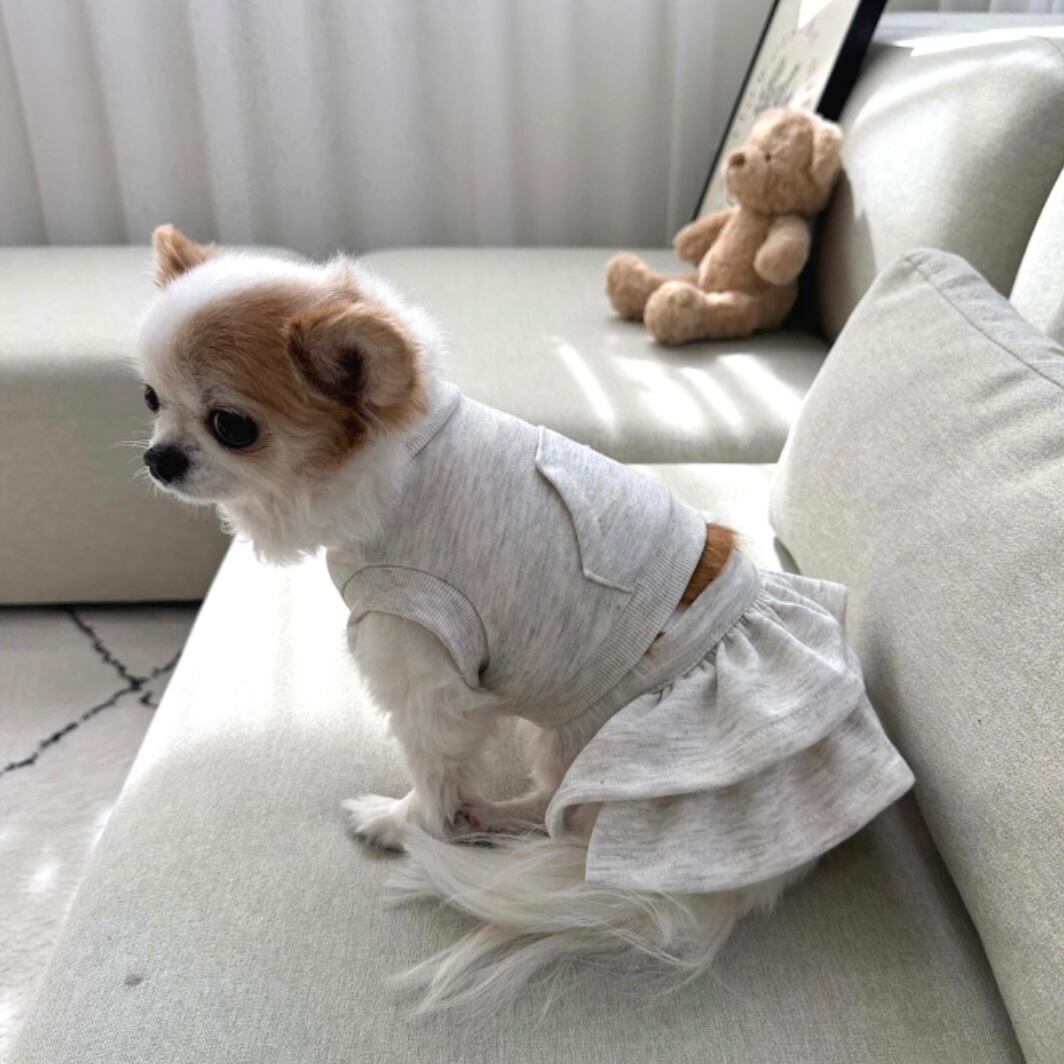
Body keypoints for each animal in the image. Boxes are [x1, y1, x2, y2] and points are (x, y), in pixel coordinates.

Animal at [134, 225, 914, 1012]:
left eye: (232, 426)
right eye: (148, 398)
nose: (158, 458)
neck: (404, 467)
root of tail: (759, 879)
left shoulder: (424, 666)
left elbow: (432, 772)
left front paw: (401, 824)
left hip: (577, 740)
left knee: (556, 814)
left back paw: (493, 826)